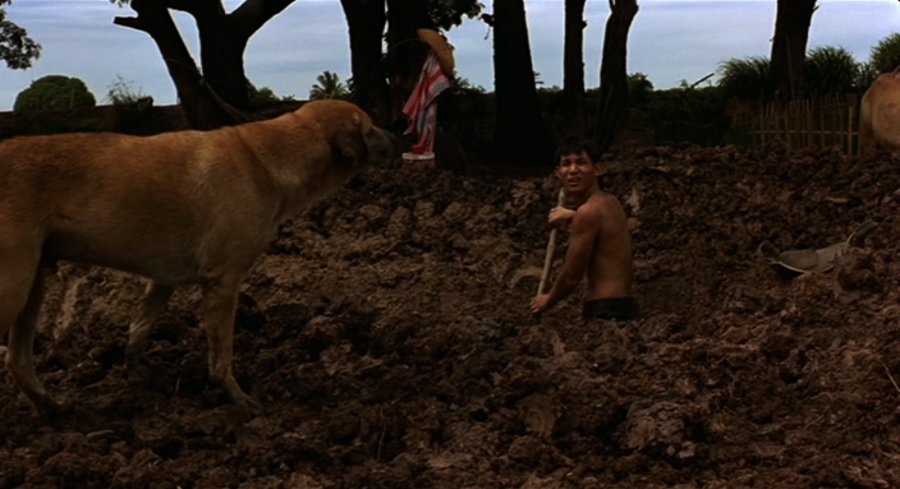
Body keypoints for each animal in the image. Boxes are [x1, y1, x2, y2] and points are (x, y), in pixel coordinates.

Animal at [0, 99, 397, 415]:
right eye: (369, 127)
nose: (400, 136)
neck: (267, 159)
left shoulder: (162, 280)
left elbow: (139, 328)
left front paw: (136, 372)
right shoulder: (223, 283)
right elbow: (221, 356)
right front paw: (238, 400)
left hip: (34, 282)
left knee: (17, 360)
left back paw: (52, 409)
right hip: (15, 284)